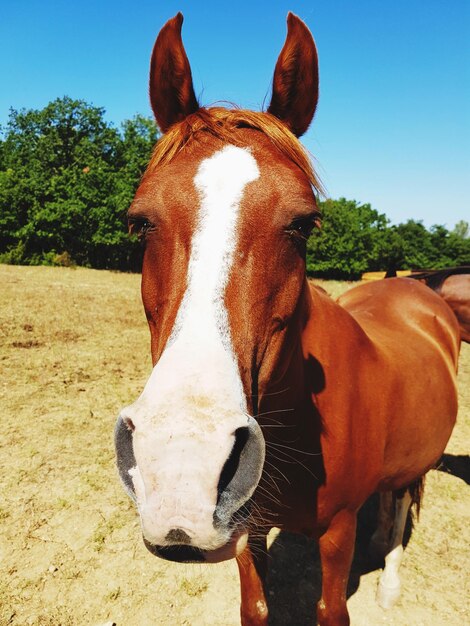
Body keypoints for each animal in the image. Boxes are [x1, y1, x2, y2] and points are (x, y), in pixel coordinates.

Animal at [114, 12, 458, 620]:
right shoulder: (246, 529)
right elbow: (256, 607)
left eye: (303, 224)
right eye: (139, 222)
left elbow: (331, 609)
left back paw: (390, 580)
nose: (182, 469)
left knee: (401, 500)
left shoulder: (337, 531)